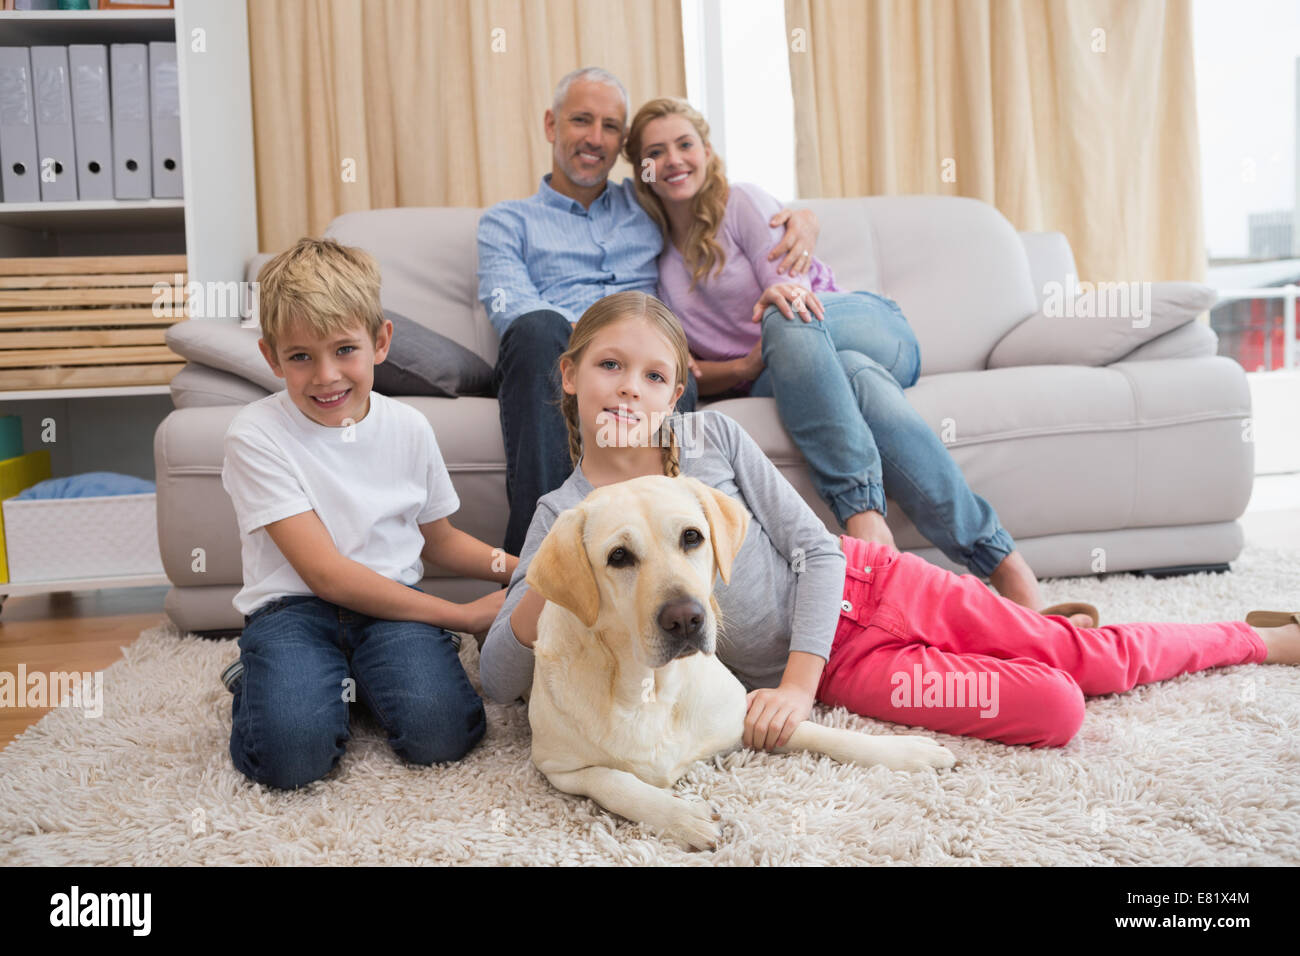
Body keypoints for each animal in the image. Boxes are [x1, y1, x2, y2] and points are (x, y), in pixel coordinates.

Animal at [522, 476, 961, 848]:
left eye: (692, 537)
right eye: (618, 556)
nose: (685, 619)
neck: (654, 690)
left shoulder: (744, 720)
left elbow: (825, 733)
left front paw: (909, 751)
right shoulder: (557, 768)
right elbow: (614, 782)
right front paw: (683, 817)